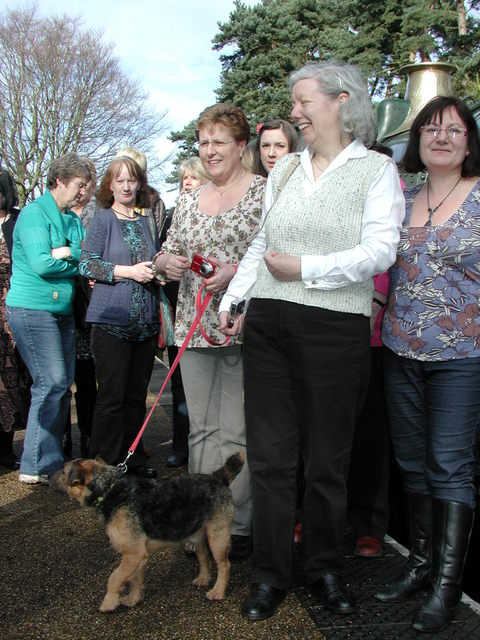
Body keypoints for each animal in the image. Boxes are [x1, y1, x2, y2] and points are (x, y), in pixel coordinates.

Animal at [50, 452, 244, 612]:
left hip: (218, 536)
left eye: (63, 471)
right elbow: (134, 580)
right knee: (204, 557)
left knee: (224, 565)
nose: (48, 476)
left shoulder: (133, 553)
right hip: (198, 535)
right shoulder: (136, 556)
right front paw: (133, 599)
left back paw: (217, 591)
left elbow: (114, 578)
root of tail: (218, 477)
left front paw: (109, 603)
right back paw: (203, 579)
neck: (109, 489)